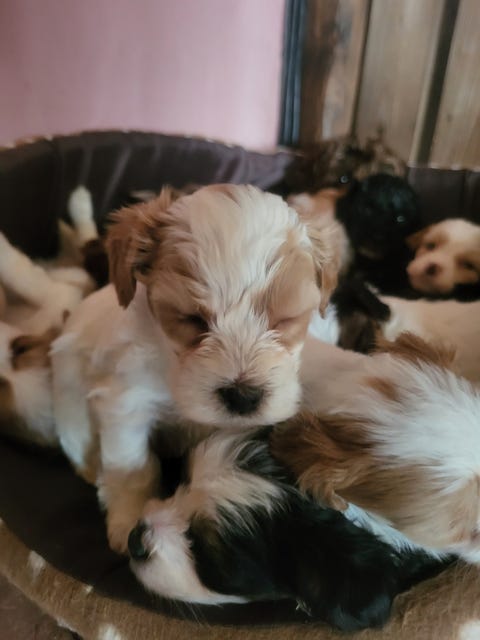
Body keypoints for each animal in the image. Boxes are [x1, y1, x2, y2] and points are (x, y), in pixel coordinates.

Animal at [50, 184, 339, 552]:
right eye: (192, 319)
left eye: (284, 320)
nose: (243, 396)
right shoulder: (127, 404)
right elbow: (132, 469)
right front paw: (127, 522)